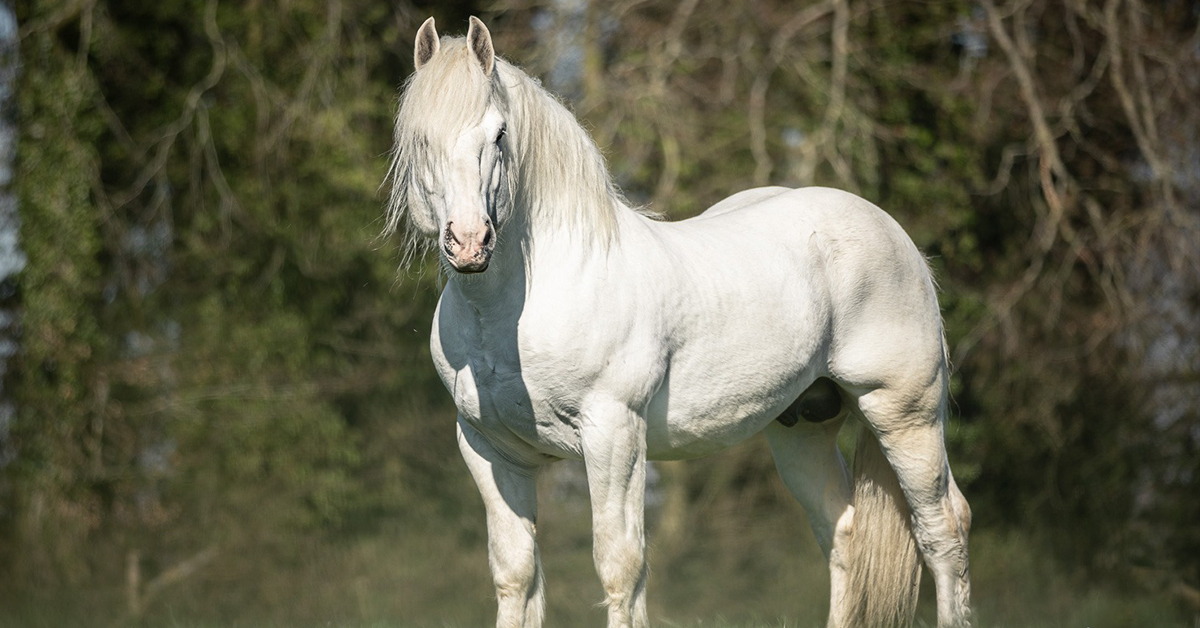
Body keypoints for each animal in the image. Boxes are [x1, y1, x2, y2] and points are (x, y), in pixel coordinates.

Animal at [388, 17, 969, 628]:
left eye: (499, 134)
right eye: (420, 138)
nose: (469, 243)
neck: (513, 311)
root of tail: (895, 236)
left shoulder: (614, 434)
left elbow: (620, 567)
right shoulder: (489, 450)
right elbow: (515, 573)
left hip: (903, 413)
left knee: (944, 529)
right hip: (802, 428)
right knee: (843, 532)